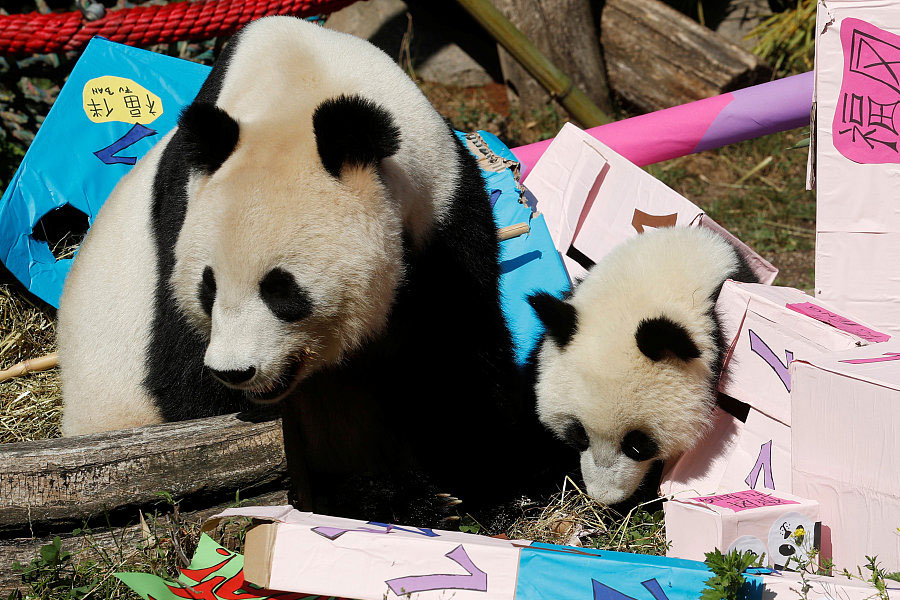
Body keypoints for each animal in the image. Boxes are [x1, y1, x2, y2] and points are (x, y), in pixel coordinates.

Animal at [58, 16, 568, 524]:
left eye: (281, 290)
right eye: (208, 288)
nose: (235, 371)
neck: (299, 89)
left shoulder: (443, 209)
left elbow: (455, 350)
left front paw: (495, 483)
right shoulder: (179, 215)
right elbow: (187, 384)